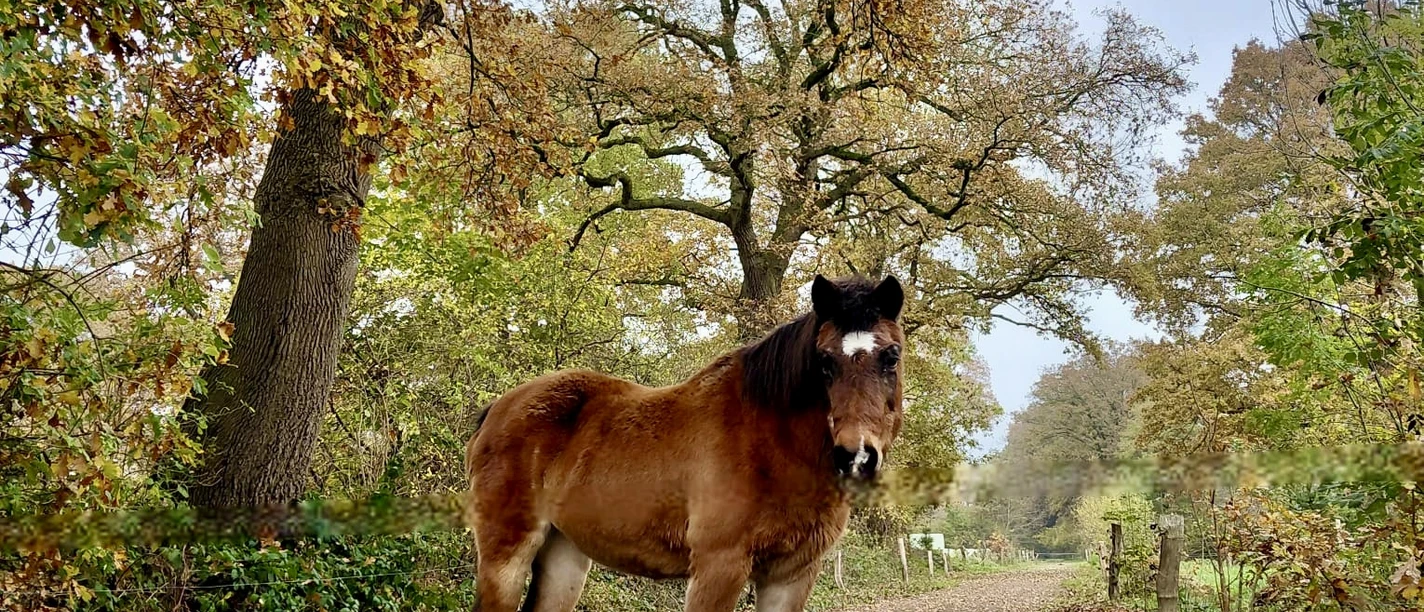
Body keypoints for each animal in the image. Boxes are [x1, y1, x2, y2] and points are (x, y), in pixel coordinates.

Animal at [463, 273, 906, 612]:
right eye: (824, 360)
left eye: (892, 356)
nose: (856, 455)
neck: (773, 443)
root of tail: (498, 408)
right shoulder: (718, 568)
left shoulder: (792, 575)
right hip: (506, 556)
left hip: (564, 554)